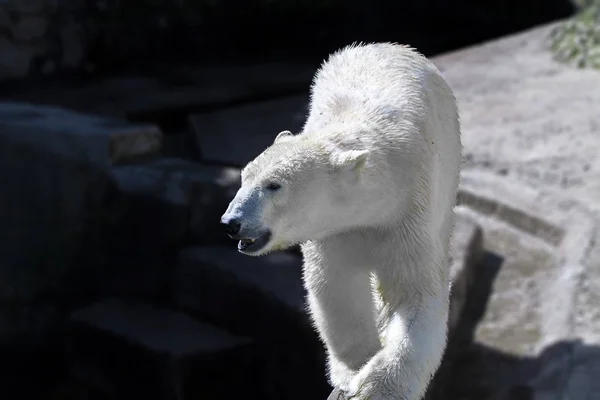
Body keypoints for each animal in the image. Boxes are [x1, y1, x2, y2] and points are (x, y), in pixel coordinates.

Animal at [223, 42, 462, 398]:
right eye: (243, 178)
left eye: (274, 185)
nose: (231, 222)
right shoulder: (334, 230)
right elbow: (337, 288)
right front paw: (352, 370)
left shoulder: (411, 211)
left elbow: (415, 294)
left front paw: (376, 387)